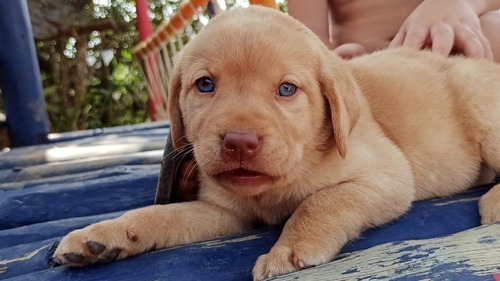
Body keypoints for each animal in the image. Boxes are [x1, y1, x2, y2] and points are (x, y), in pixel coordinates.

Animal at [54, 5, 500, 278]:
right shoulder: (225, 212)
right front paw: (105, 235)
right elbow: (160, 216)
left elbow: (320, 200)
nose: (239, 142)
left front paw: (289, 249)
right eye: (205, 85)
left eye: (287, 89)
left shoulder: (387, 176)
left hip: (482, 109)